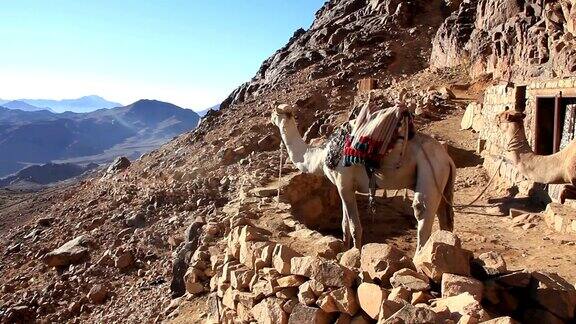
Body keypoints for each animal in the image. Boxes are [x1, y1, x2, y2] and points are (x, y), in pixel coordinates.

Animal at [272, 104, 456, 253]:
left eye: (275, 112)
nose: (271, 119)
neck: (321, 156)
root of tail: (448, 159)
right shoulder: (344, 187)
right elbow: (344, 224)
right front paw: (344, 250)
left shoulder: (344, 183)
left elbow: (355, 226)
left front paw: (357, 254)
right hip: (441, 180)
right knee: (444, 217)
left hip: (429, 170)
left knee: (422, 211)